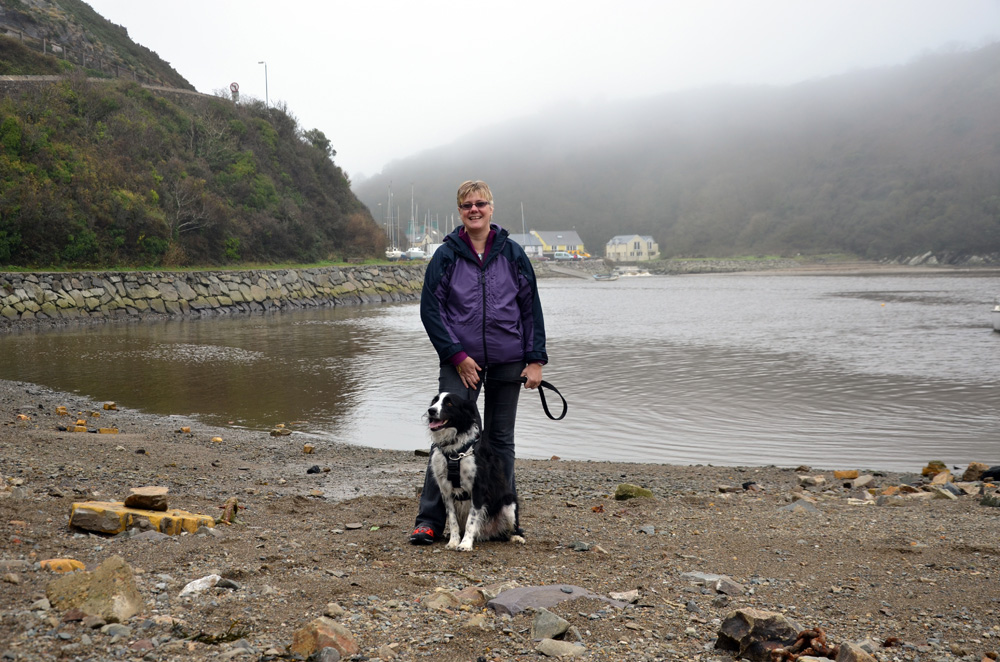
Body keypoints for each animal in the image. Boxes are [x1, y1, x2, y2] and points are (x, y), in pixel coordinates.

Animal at [425, 392, 525, 551]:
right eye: (435, 401)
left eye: (449, 403)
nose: (431, 410)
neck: (455, 451)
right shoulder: (446, 490)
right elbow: (452, 519)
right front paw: (454, 542)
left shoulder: (478, 488)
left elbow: (471, 521)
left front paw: (465, 544)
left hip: (509, 504)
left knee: (511, 530)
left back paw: (517, 537)